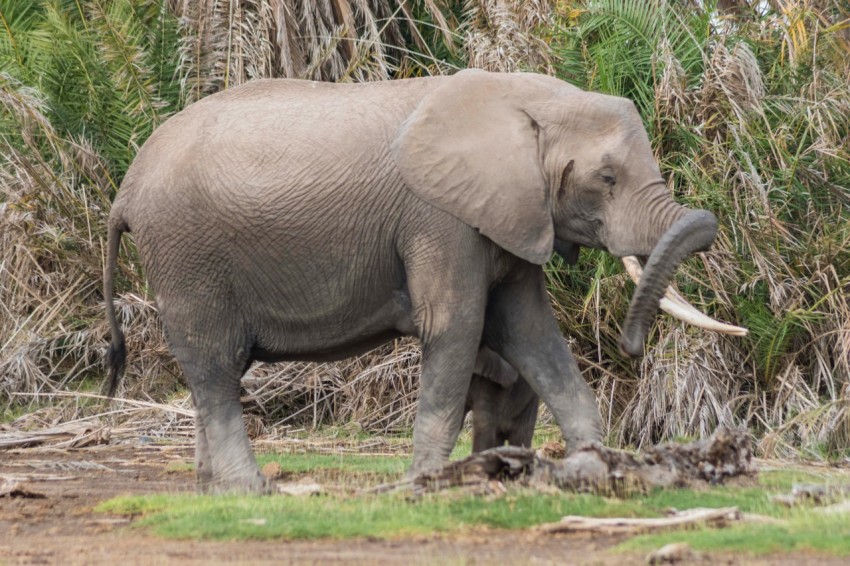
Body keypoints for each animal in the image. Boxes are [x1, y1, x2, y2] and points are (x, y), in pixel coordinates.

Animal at [104, 69, 744, 493]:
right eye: (606, 177)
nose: (631, 346)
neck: (522, 98)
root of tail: (124, 192)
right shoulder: (440, 219)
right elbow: (456, 325)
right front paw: (425, 485)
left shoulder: (507, 214)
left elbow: (531, 332)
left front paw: (590, 466)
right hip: (186, 253)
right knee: (213, 365)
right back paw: (252, 491)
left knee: (212, 370)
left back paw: (212, 489)